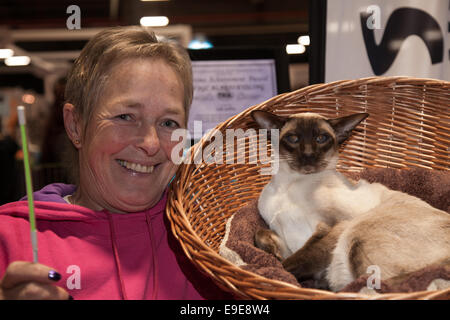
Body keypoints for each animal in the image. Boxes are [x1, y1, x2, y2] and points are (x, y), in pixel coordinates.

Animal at [251, 110, 450, 292]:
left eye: (321, 138)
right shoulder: (285, 237)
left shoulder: (338, 223)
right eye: (293, 138)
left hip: (358, 232)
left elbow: (294, 262)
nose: (308, 154)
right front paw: (273, 255)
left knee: (389, 286)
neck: (290, 183)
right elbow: (262, 237)